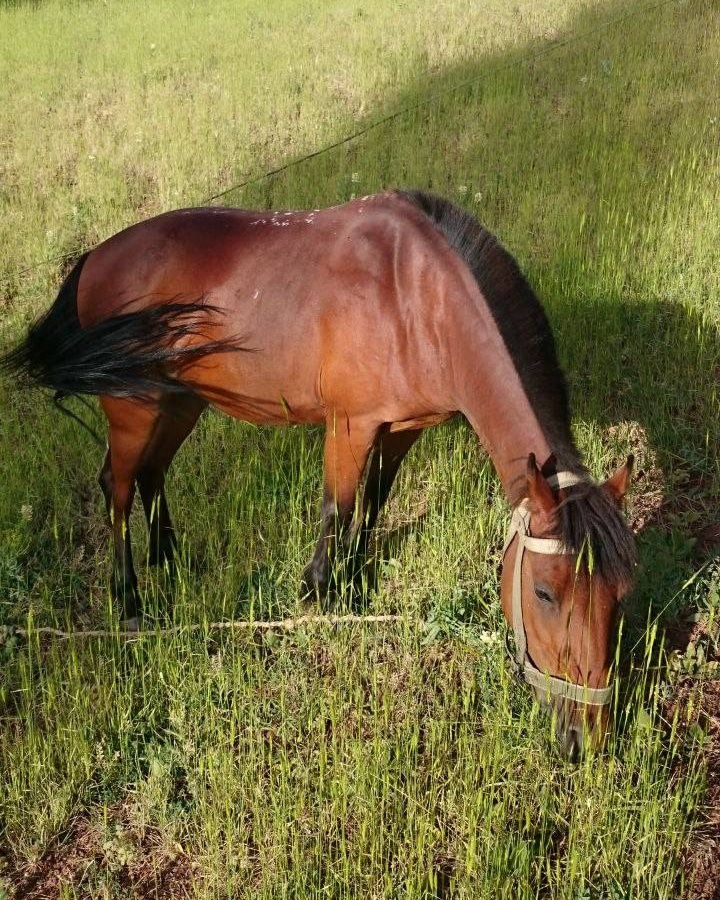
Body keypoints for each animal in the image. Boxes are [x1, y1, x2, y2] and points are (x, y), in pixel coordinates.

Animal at [2, 189, 636, 757]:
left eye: (621, 594)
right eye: (544, 593)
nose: (588, 739)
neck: (418, 297)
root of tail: (94, 257)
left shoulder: (403, 426)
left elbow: (375, 500)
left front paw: (355, 578)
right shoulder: (350, 424)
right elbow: (339, 504)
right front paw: (320, 590)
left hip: (180, 398)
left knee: (152, 473)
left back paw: (171, 560)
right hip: (132, 403)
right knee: (118, 485)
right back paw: (129, 596)